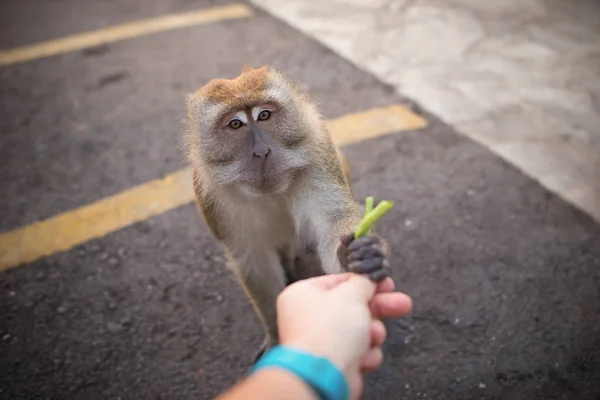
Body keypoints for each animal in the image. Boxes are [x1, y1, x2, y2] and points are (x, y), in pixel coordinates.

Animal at [185, 65, 392, 360]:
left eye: (264, 115)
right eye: (235, 124)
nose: (262, 151)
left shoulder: (318, 154)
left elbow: (333, 222)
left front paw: (359, 255)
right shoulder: (210, 196)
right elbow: (254, 264)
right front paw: (277, 333)